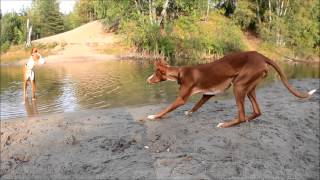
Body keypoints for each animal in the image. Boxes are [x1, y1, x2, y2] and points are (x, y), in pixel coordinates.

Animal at [146, 50, 316, 128]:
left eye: (155, 73)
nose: (147, 80)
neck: (180, 72)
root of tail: (261, 56)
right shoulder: (207, 94)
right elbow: (197, 105)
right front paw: (189, 112)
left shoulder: (182, 98)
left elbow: (167, 109)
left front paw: (154, 116)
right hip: (249, 88)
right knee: (257, 111)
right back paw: (247, 119)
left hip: (239, 86)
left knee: (241, 115)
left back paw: (226, 124)